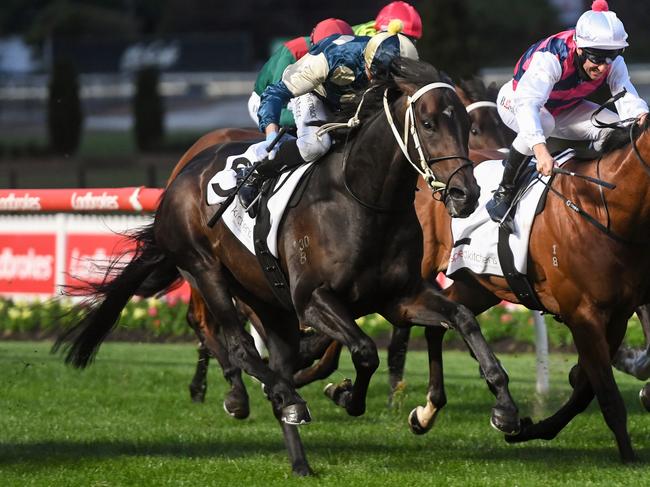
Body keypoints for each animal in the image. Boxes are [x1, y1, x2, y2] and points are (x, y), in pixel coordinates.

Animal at [57, 60, 520, 476]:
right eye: (427, 123)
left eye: (464, 123)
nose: (466, 193)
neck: (365, 201)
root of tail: (181, 177)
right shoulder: (312, 300)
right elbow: (364, 350)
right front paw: (346, 395)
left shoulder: (400, 297)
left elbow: (461, 318)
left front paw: (504, 407)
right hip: (205, 271)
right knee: (238, 345)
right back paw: (268, 396)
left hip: (266, 300)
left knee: (272, 356)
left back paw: (299, 458)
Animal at [408, 116, 648, 464]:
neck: (606, 208)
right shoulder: (583, 315)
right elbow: (605, 392)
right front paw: (628, 458)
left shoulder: (617, 315)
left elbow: (586, 389)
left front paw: (533, 428)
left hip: (479, 285)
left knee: (442, 323)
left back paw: (428, 411)